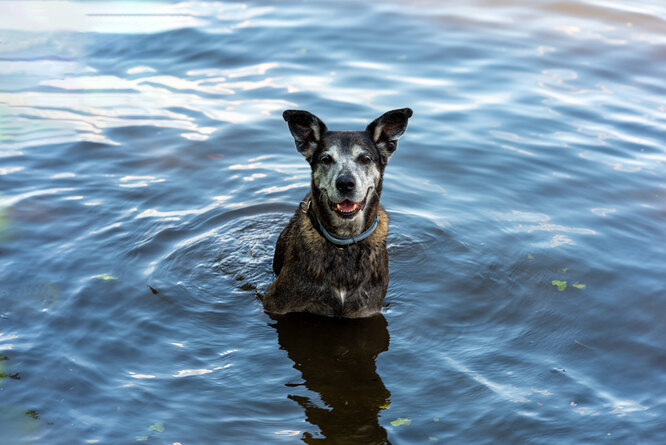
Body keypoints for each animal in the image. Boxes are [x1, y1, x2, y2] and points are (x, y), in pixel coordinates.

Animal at [260, 107, 410, 316]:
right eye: (326, 159)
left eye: (364, 158)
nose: (345, 183)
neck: (344, 242)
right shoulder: (276, 300)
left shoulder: (367, 307)